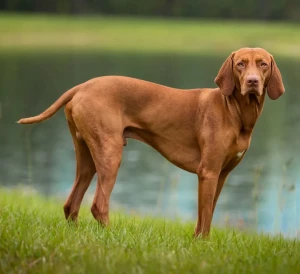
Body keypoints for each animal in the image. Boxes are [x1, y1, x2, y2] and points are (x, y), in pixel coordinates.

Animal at [17, 48, 284, 237]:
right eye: (240, 64)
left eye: (262, 64)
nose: (252, 82)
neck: (236, 112)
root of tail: (82, 86)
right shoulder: (208, 172)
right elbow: (205, 215)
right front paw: (203, 244)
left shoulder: (221, 175)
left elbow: (205, 215)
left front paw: (198, 241)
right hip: (110, 154)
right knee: (98, 204)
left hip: (87, 158)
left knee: (71, 203)